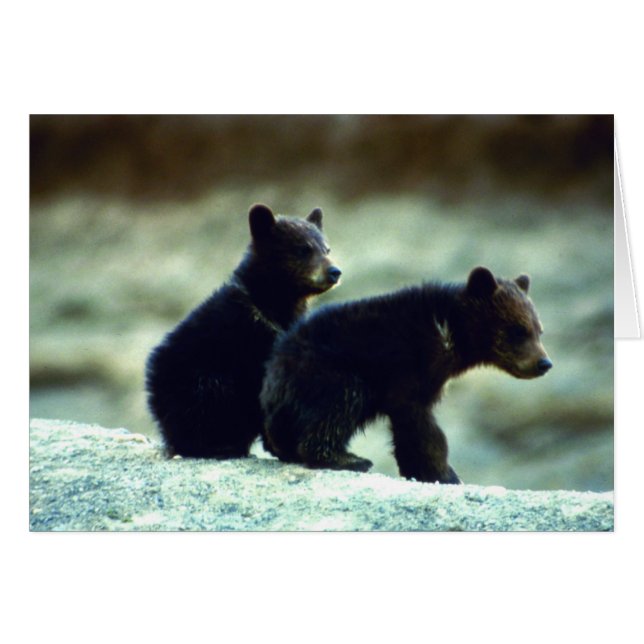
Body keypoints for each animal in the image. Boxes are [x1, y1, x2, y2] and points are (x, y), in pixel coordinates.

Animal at [145, 203, 341, 458]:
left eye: (326, 248)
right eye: (303, 249)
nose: (335, 271)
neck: (272, 305)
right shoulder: (250, 340)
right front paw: (282, 447)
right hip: (195, 381)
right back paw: (219, 445)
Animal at [260, 266, 552, 484]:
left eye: (539, 330)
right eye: (518, 330)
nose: (544, 363)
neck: (450, 331)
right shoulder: (410, 365)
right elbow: (419, 422)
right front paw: (442, 472)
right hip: (325, 371)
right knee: (339, 402)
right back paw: (350, 459)